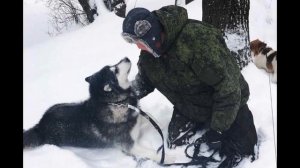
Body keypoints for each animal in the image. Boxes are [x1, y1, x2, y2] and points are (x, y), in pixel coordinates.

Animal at [23, 57, 171, 163]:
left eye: (111, 66)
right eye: (115, 70)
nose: (126, 58)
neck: (115, 103)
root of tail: (40, 125)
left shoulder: (136, 116)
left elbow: (152, 120)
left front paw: (164, 125)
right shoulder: (129, 145)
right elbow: (151, 152)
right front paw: (170, 157)